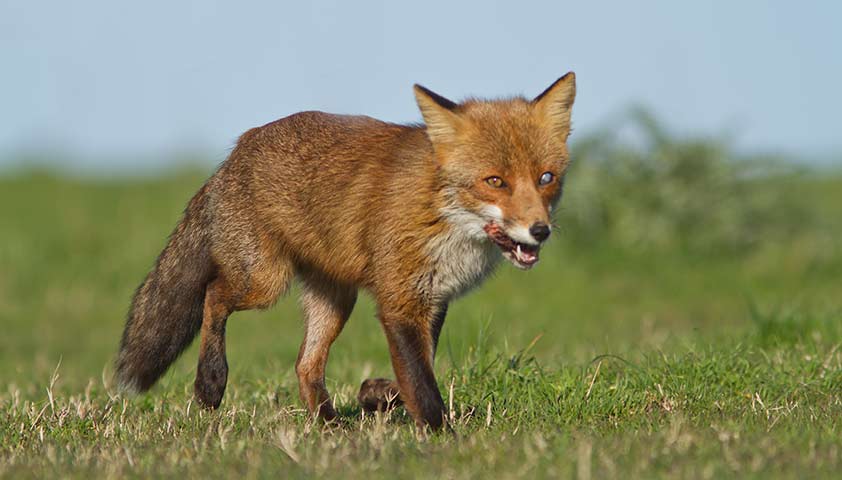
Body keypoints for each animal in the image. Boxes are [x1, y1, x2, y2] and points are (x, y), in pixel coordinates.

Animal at [115, 72, 576, 432]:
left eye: (546, 178)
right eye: (495, 181)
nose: (540, 231)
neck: (442, 213)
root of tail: (236, 151)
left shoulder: (431, 301)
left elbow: (413, 372)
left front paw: (375, 394)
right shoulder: (400, 302)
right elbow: (422, 384)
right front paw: (442, 437)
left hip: (336, 300)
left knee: (305, 365)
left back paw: (330, 425)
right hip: (263, 282)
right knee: (213, 294)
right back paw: (210, 383)